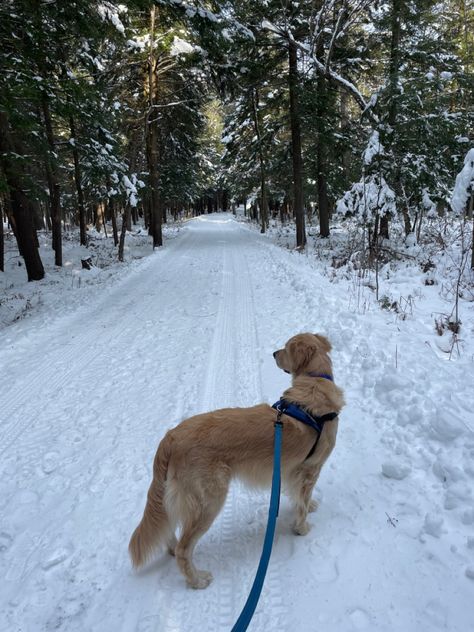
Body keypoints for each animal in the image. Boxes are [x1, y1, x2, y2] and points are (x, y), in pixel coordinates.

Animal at [130, 334, 344, 592]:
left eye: (285, 348)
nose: (274, 353)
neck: (315, 379)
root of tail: (170, 437)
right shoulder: (310, 469)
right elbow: (301, 504)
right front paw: (302, 528)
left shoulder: (291, 471)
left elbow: (298, 497)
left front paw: (309, 506)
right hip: (209, 501)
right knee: (184, 549)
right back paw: (197, 580)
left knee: (171, 529)